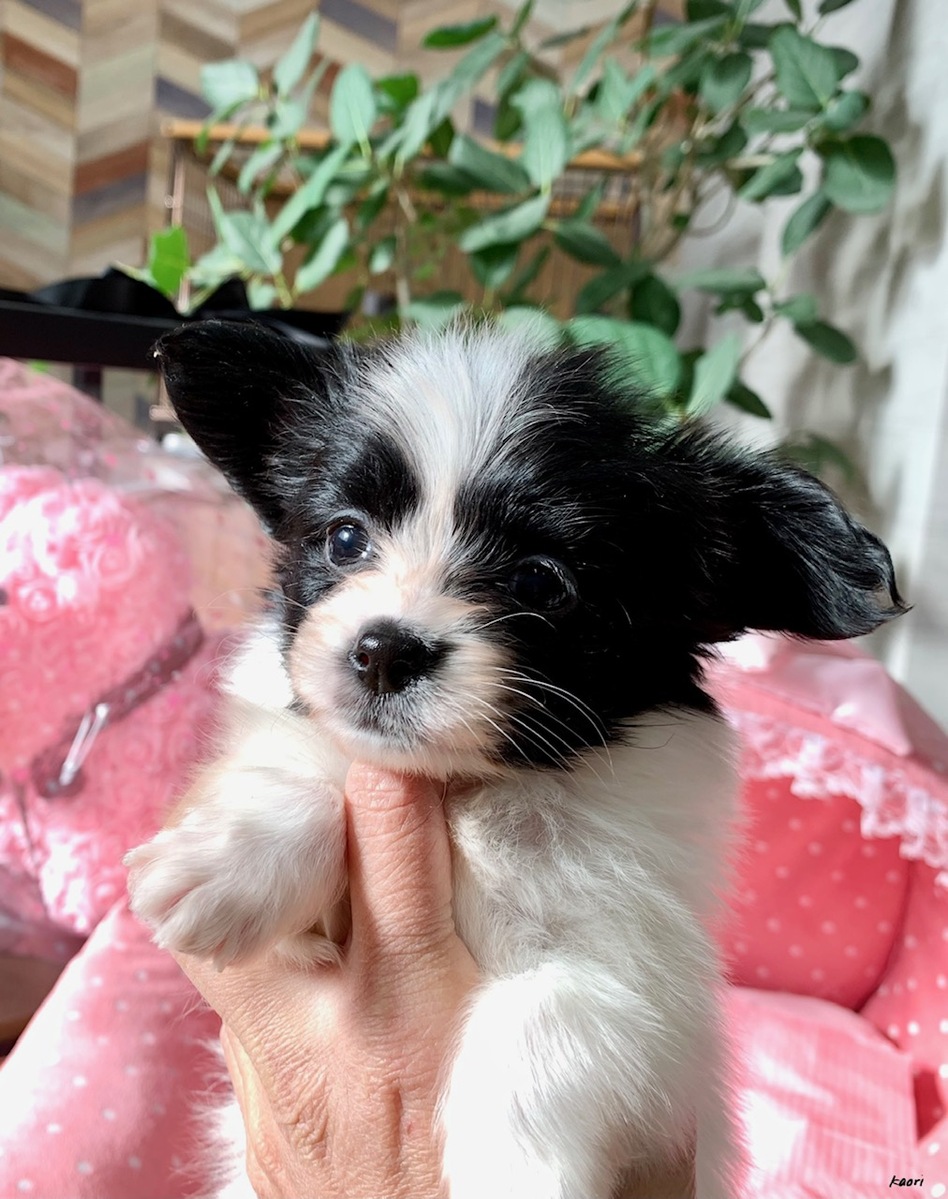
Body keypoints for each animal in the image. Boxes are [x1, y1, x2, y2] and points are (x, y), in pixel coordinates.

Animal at [126, 318, 903, 1198]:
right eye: (345, 537)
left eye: (541, 581)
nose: (385, 651)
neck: (476, 789)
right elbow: (310, 780)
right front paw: (226, 861)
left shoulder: (653, 996)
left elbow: (546, 1007)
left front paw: (515, 1171)